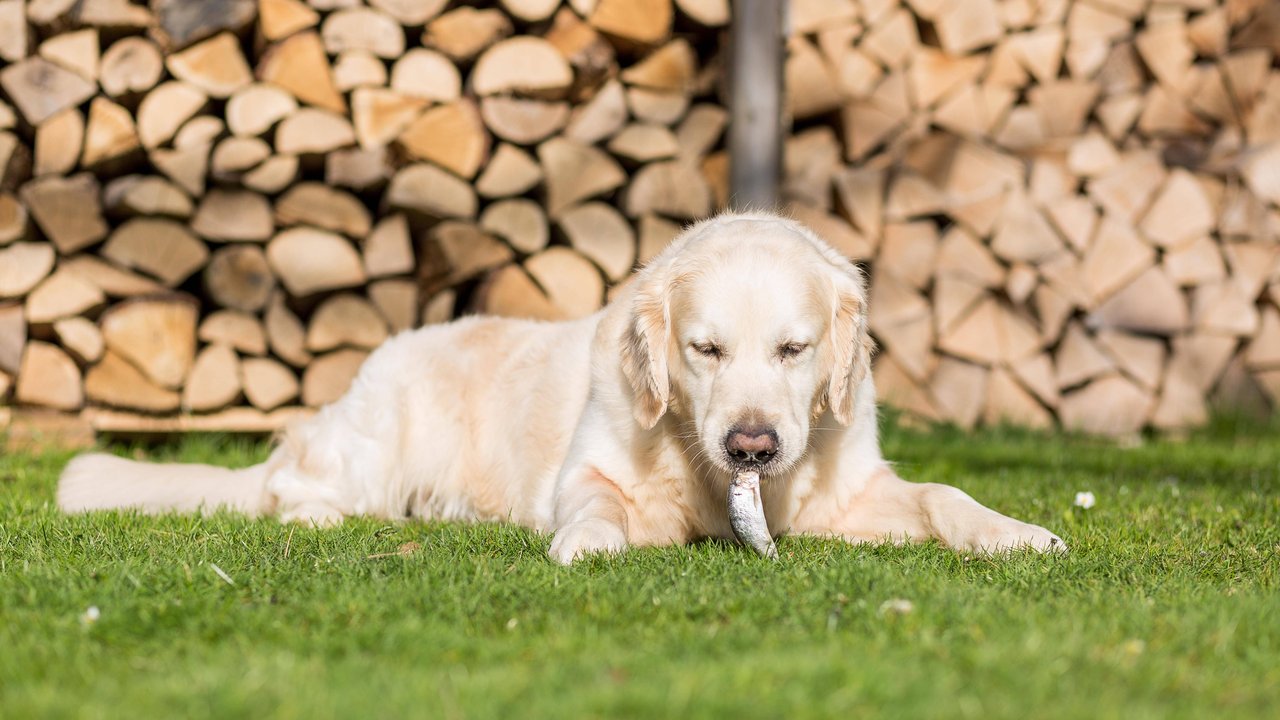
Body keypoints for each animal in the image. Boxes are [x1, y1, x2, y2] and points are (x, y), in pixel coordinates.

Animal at [55, 212, 1064, 561]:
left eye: (793, 349)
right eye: (703, 350)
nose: (752, 446)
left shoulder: (853, 492)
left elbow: (943, 495)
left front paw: (1016, 533)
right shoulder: (591, 470)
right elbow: (595, 503)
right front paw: (589, 544)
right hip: (373, 442)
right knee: (282, 483)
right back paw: (319, 514)